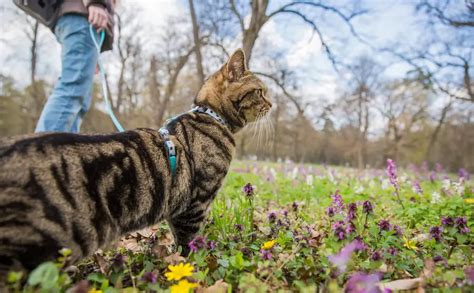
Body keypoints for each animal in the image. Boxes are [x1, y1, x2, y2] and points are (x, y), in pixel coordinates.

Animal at [0, 48, 270, 274]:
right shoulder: (196, 203)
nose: (271, 103)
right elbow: (188, 242)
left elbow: (177, 238)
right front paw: (194, 264)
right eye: (260, 91)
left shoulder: (179, 208)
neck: (211, 116)